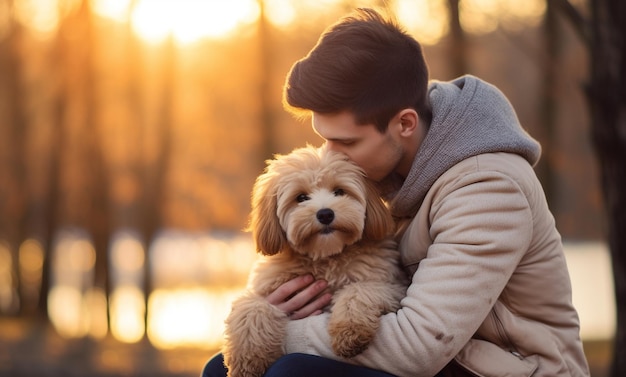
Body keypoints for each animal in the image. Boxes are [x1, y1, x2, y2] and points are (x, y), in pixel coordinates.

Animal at [222, 145, 408, 376]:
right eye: (301, 197)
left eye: (339, 191)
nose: (325, 214)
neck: (324, 257)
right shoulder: (265, 290)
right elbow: (251, 308)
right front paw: (248, 361)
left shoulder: (393, 286)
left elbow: (358, 291)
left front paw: (349, 332)